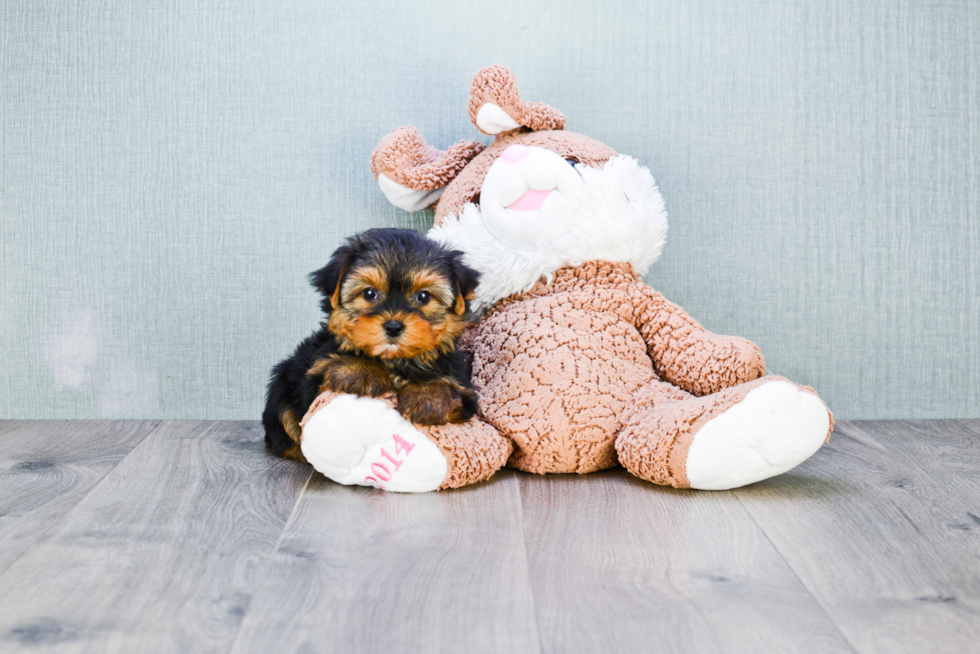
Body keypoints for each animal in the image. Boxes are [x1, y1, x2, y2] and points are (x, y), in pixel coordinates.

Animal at [262, 228, 480, 464]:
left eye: (423, 296)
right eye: (369, 293)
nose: (393, 326)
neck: (394, 361)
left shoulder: (463, 387)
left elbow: (451, 390)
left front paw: (428, 396)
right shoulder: (314, 375)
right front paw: (360, 371)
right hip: (283, 383)